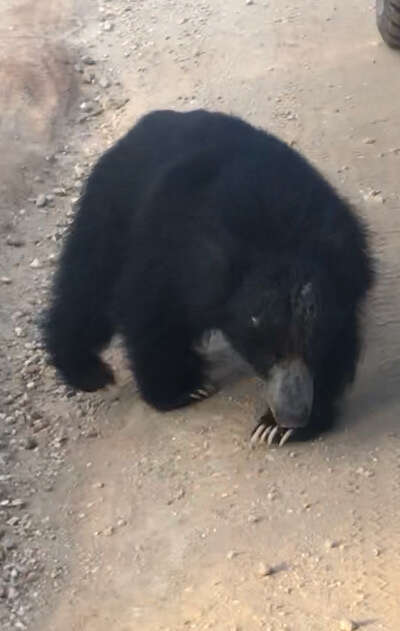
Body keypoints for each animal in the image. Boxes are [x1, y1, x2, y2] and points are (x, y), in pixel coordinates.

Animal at [43, 110, 376, 444]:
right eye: (267, 354)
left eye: (311, 349)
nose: (292, 416)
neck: (278, 236)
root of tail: (150, 121)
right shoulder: (172, 249)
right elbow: (150, 310)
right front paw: (185, 390)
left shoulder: (344, 277)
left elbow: (341, 341)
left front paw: (276, 429)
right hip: (110, 208)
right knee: (87, 284)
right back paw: (87, 371)